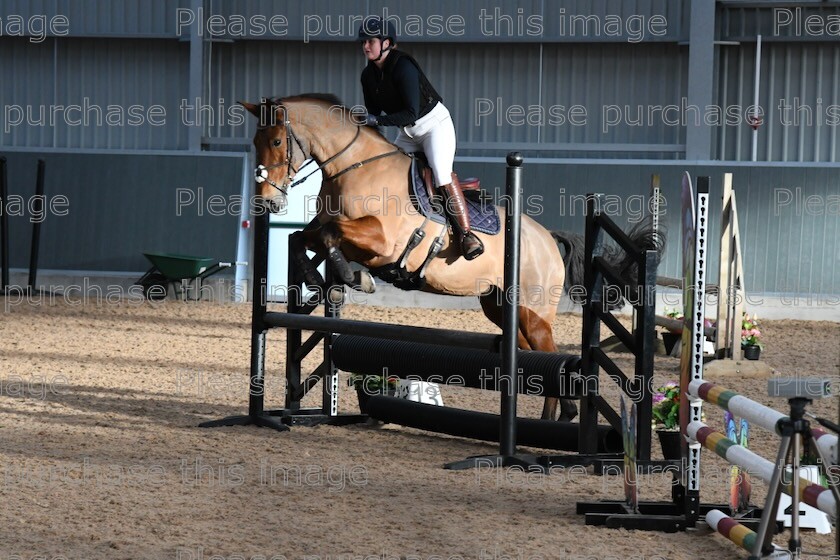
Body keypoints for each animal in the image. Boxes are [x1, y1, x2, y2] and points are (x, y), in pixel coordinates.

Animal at [240, 95, 660, 420]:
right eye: (255, 143)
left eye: (276, 141)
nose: (268, 202)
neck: (354, 166)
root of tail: (546, 238)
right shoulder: (331, 231)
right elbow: (301, 237)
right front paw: (326, 284)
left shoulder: (381, 241)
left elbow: (333, 235)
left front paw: (352, 279)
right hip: (503, 310)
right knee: (537, 363)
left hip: (533, 313)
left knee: (552, 359)